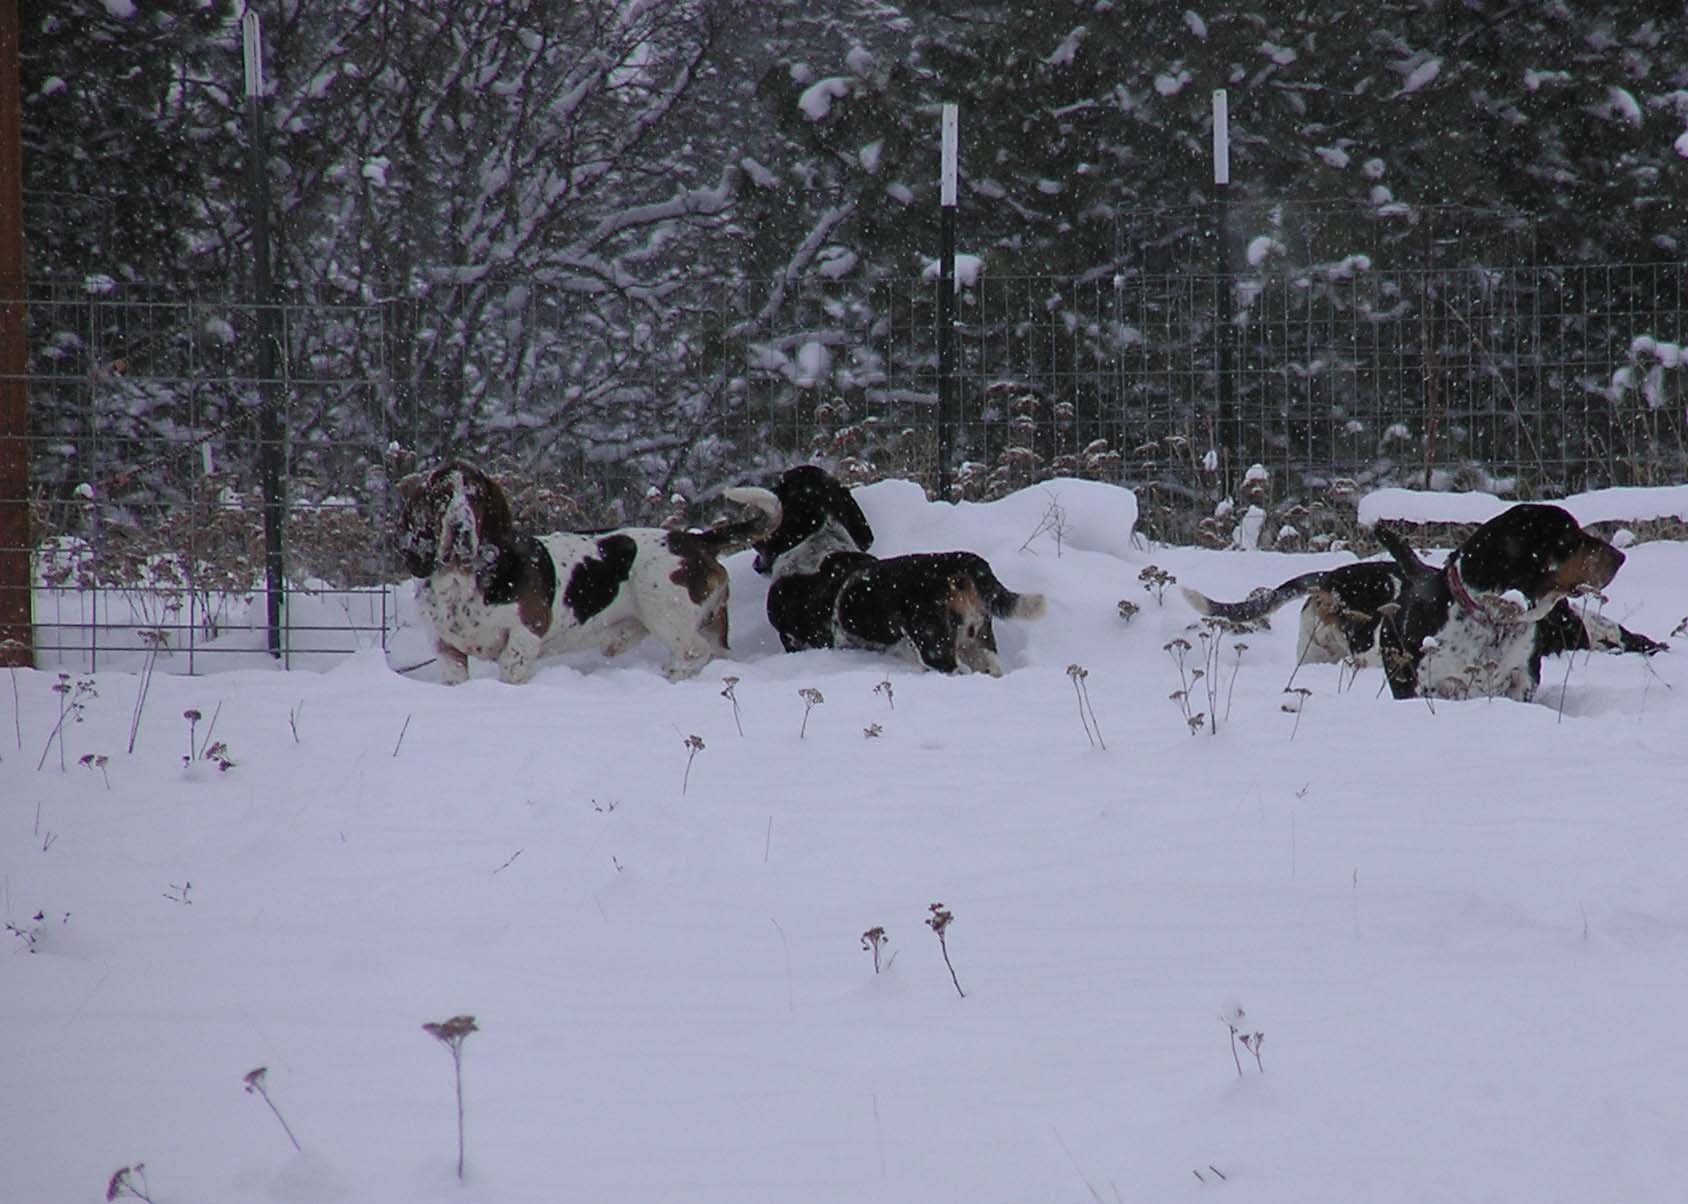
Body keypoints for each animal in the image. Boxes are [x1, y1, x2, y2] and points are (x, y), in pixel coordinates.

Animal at [397, 460, 779, 684]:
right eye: (441, 497)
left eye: (476, 497)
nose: (461, 530)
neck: (462, 579)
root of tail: (694, 540)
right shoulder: (446, 649)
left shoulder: (522, 639)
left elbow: (510, 669)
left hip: (665, 612)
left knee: (693, 651)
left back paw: (669, 674)